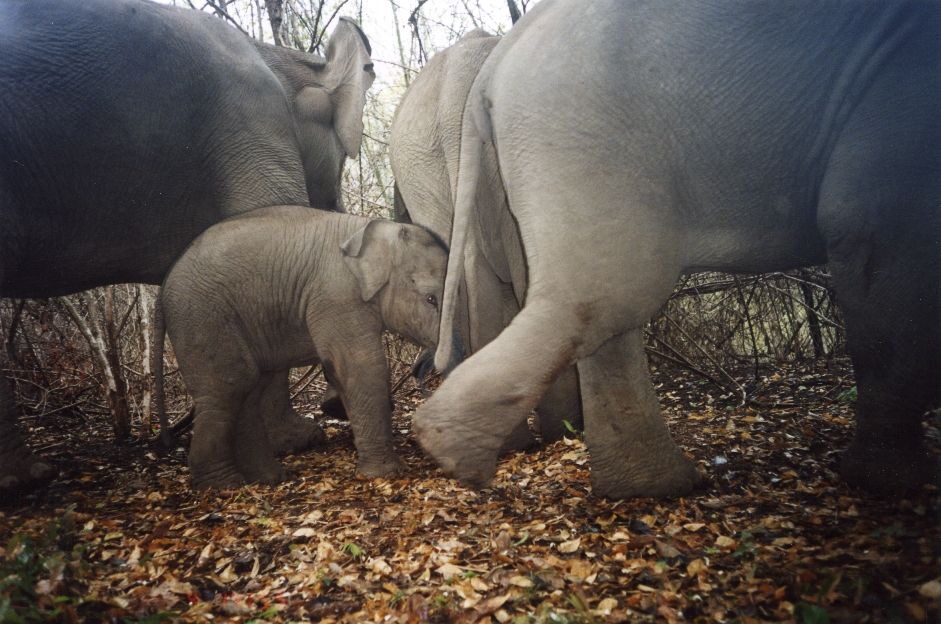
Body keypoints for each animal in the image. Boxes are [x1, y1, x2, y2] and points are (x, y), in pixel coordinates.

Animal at [154, 207, 448, 490]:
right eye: (430, 299)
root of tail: (163, 285)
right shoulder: (335, 296)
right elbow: (361, 366)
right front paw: (386, 474)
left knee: (251, 386)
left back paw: (267, 478)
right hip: (203, 317)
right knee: (231, 384)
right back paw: (225, 486)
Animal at [416, 0, 940, 498]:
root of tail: (497, 59)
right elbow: (876, 232)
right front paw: (889, 484)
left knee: (602, 307)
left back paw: (649, 486)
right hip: (580, 136)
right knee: (606, 296)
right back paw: (451, 450)